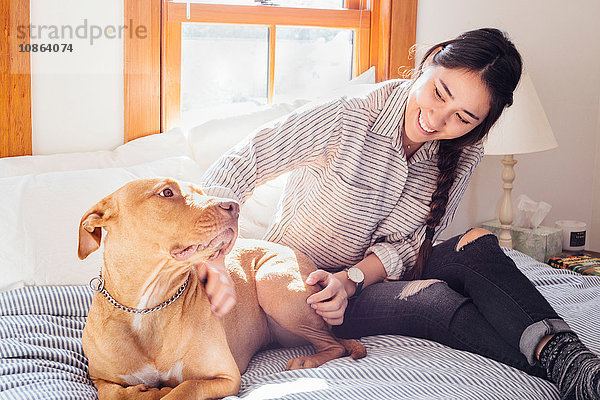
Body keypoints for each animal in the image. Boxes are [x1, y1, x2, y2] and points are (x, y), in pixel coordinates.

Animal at [77, 179, 364, 400]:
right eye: (167, 192)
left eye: (201, 192)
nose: (233, 206)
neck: (148, 306)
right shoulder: (99, 378)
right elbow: (112, 392)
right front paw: (144, 392)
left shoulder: (224, 377)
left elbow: (183, 389)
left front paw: (163, 392)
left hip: (273, 284)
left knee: (334, 344)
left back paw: (307, 361)